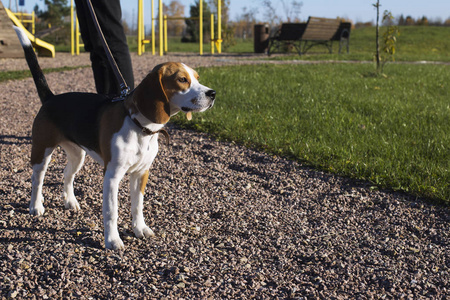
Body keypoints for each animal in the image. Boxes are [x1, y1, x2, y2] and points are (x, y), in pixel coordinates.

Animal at [14, 26, 215, 248]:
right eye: (182, 79)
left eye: (196, 77)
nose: (213, 93)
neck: (141, 128)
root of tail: (51, 98)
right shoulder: (112, 176)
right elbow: (112, 211)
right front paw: (112, 240)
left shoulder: (141, 173)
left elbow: (137, 206)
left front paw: (140, 229)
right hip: (42, 152)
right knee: (37, 179)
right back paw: (35, 206)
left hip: (77, 155)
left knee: (67, 174)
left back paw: (70, 201)